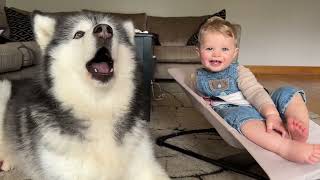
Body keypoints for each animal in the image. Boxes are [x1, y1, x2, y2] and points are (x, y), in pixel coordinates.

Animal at [0, 11, 170, 180]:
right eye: (78, 34)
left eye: (113, 30)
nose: (104, 30)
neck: (98, 106)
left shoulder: (146, 166)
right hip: (4, 88)